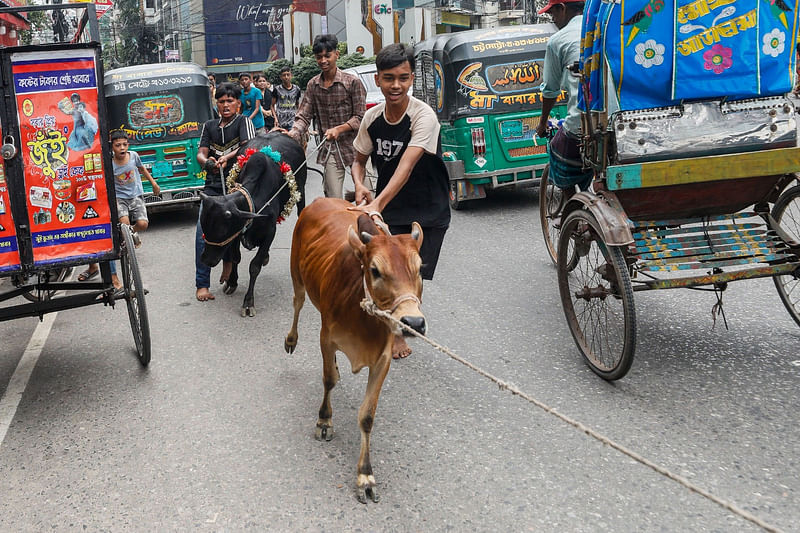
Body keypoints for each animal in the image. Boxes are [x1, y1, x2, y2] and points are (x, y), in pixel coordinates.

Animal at [200, 132, 306, 316]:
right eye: (205, 228)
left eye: (221, 232)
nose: (206, 260)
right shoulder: (238, 231)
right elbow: (236, 257)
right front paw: (232, 282)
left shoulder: (270, 231)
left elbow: (254, 266)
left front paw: (248, 302)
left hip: (302, 192)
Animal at [284, 197, 428, 500]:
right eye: (375, 270)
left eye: (420, 269)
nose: (413, 323)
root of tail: (321, 200)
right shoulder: (326, 338)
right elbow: (328, 380)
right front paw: (324, 422)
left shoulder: (382, 359)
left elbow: (367, 416)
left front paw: (365, 475)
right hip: (297, 276)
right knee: (297, 304)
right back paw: (291, 339)